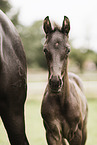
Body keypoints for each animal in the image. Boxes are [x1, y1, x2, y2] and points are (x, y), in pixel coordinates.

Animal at [41, 16, 88, 144]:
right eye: (45, 50)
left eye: (68, 50)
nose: (55, 82)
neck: (62, 103)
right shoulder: (53, 134)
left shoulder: (77, 134)